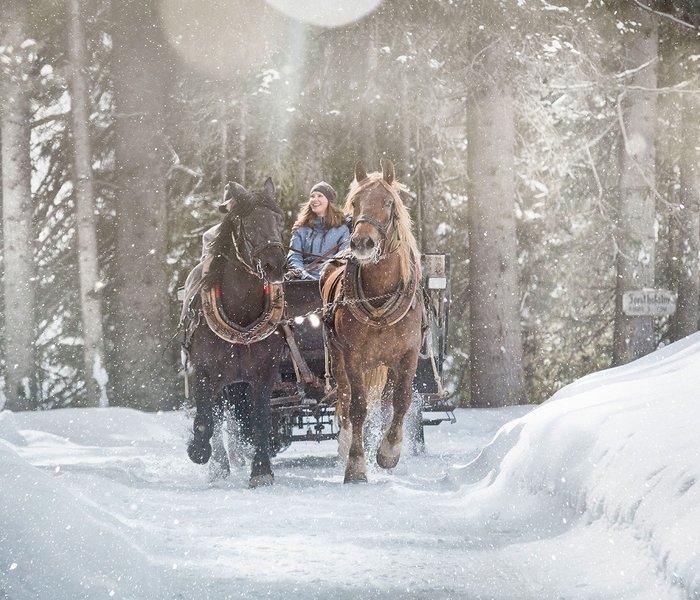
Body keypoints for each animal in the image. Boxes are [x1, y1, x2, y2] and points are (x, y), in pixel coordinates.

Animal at [183, 178, 290, 488]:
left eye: (279, 220)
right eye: (248, 223)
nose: (276, 265)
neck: (241, 314)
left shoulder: (264, 373)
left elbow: (261, 419)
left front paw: (261, 470)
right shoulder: (205, 372)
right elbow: (206, 418)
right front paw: (199, 450)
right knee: (218, 416)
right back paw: (218, 465)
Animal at [322, 161, 424, 482]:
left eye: (388, 202)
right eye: (355, 203)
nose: (362, 242)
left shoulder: (408, 354)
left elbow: (401, 400)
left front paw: (388, 452)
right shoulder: (353, 357)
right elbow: (357, 408)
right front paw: (356, 464)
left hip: (387, 363)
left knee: (389, 400)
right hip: (339, 358)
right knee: (344, 400)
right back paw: (344, 447)